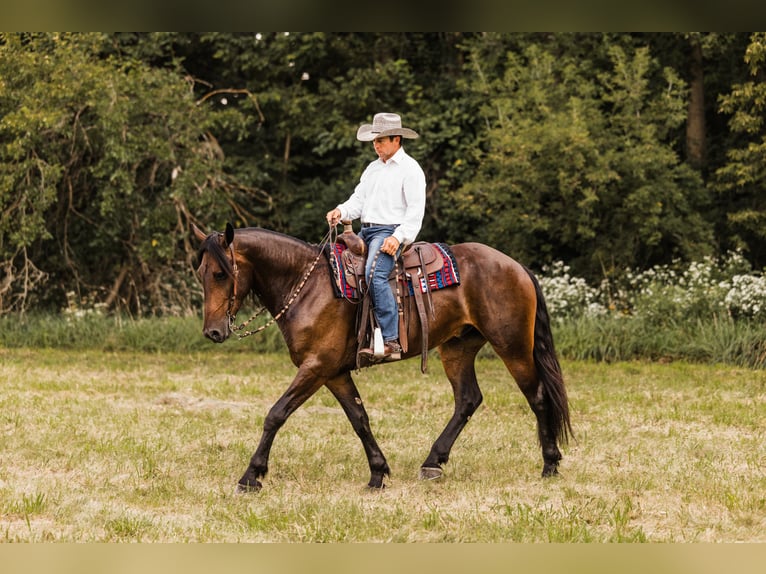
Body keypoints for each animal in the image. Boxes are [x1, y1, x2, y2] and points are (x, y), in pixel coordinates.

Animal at [193, 222, 572, 491]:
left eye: (221, 273)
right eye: (201, 273)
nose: (213, 332)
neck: (308, 286)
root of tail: (515, 265)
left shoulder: (316, 367)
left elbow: (276, 414)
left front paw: (251, 476)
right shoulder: (334, 373)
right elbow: (359, 419)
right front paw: (378, 473)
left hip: (512, 346)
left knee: (538, 396)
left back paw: (550, 464)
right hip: (457, 348)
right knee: (468, 399)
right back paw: (433, 461)